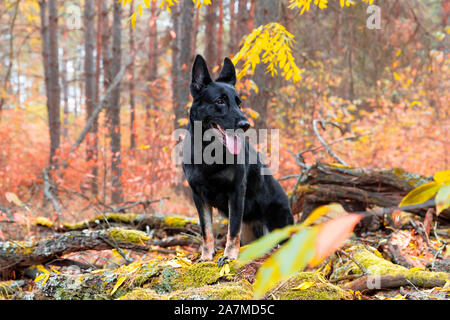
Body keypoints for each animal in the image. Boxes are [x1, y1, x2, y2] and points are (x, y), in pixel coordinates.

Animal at [181, 54, 294, 264]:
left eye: (238, 103)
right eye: (219, 101)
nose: (245, 124)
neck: (209, 152)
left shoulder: (236, 192)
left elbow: (233, 229)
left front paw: (229, 256)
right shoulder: (198, 196)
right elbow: (206, 230)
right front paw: (206, 256)